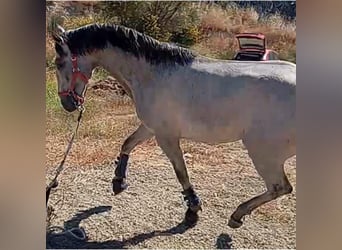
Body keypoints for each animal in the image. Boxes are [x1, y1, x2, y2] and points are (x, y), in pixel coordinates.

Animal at [50, 23, 294, 229]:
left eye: (59, 63)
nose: (67, 104)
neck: (153, 74)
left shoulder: (166, 136)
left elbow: (181, 172)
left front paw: (193, 210)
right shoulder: (151, 128)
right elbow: (127, 144)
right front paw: (118, 182)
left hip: (263, 153)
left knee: (280, 187)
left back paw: (237, 215)